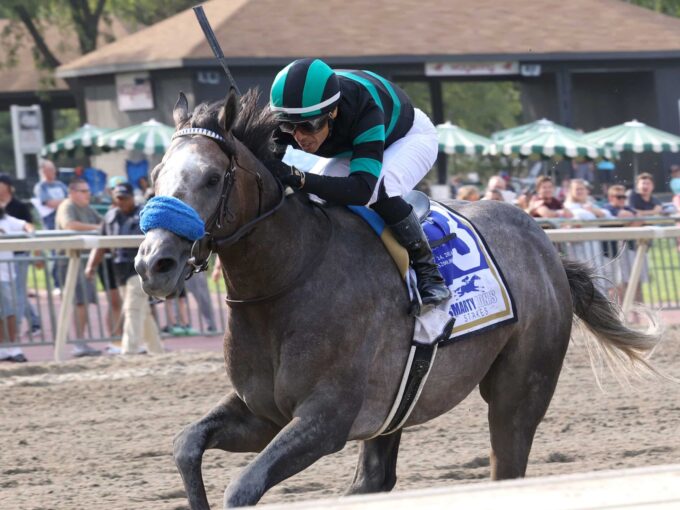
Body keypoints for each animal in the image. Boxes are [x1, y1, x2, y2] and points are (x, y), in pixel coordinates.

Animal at [134, 89, 660, 508]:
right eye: (156, 174)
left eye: (210, 177)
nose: (153, 263)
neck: (287, 278)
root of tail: (544, 243)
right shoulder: (264, 413)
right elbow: (185, 444)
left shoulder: (325, 419)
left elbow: (241, 487)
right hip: (399, 402)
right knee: (374, 480)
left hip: (519, 393)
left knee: (506, 464)